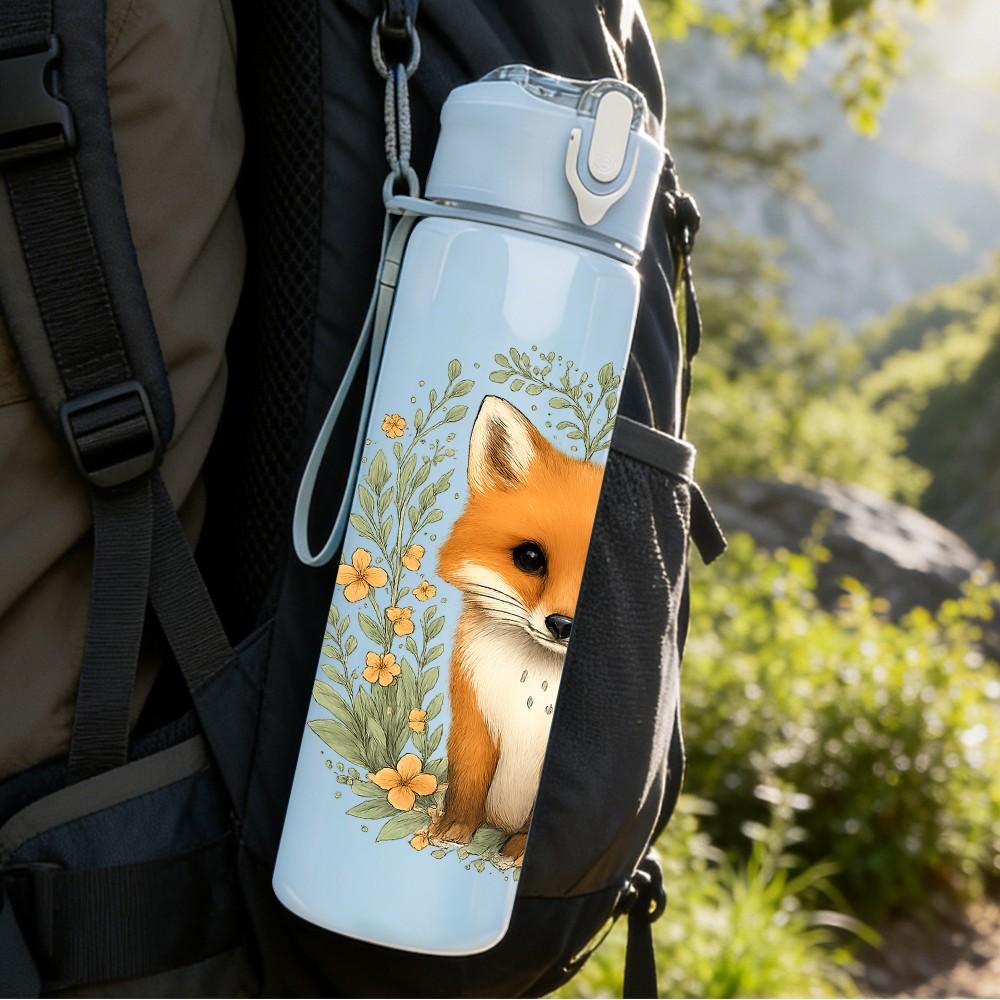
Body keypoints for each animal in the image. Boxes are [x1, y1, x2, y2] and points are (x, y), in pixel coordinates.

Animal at [430, 394, 604, 863]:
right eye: (530, 557)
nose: (561, 625)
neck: (534, 693)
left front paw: (521, 852)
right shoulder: (476, 722)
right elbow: (467, 788)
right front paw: (451, 831)